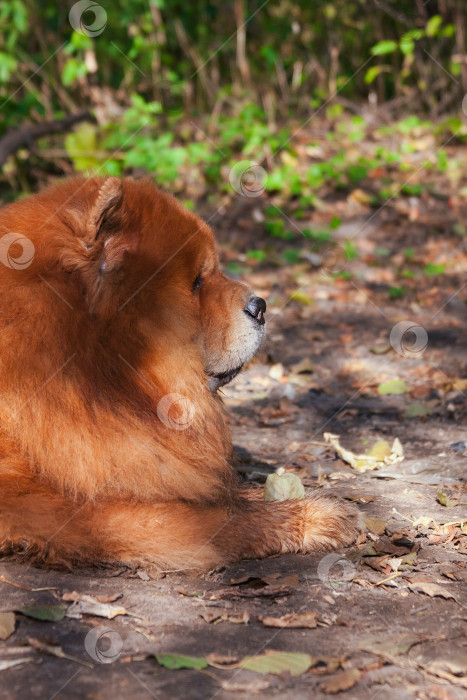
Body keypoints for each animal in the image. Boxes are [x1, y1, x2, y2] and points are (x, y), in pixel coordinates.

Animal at [0, 178, 360, 572]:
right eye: (197, 282)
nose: (261, 306)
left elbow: (227, 496)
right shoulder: (55, 504)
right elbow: (220, 520)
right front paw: (316, 515)